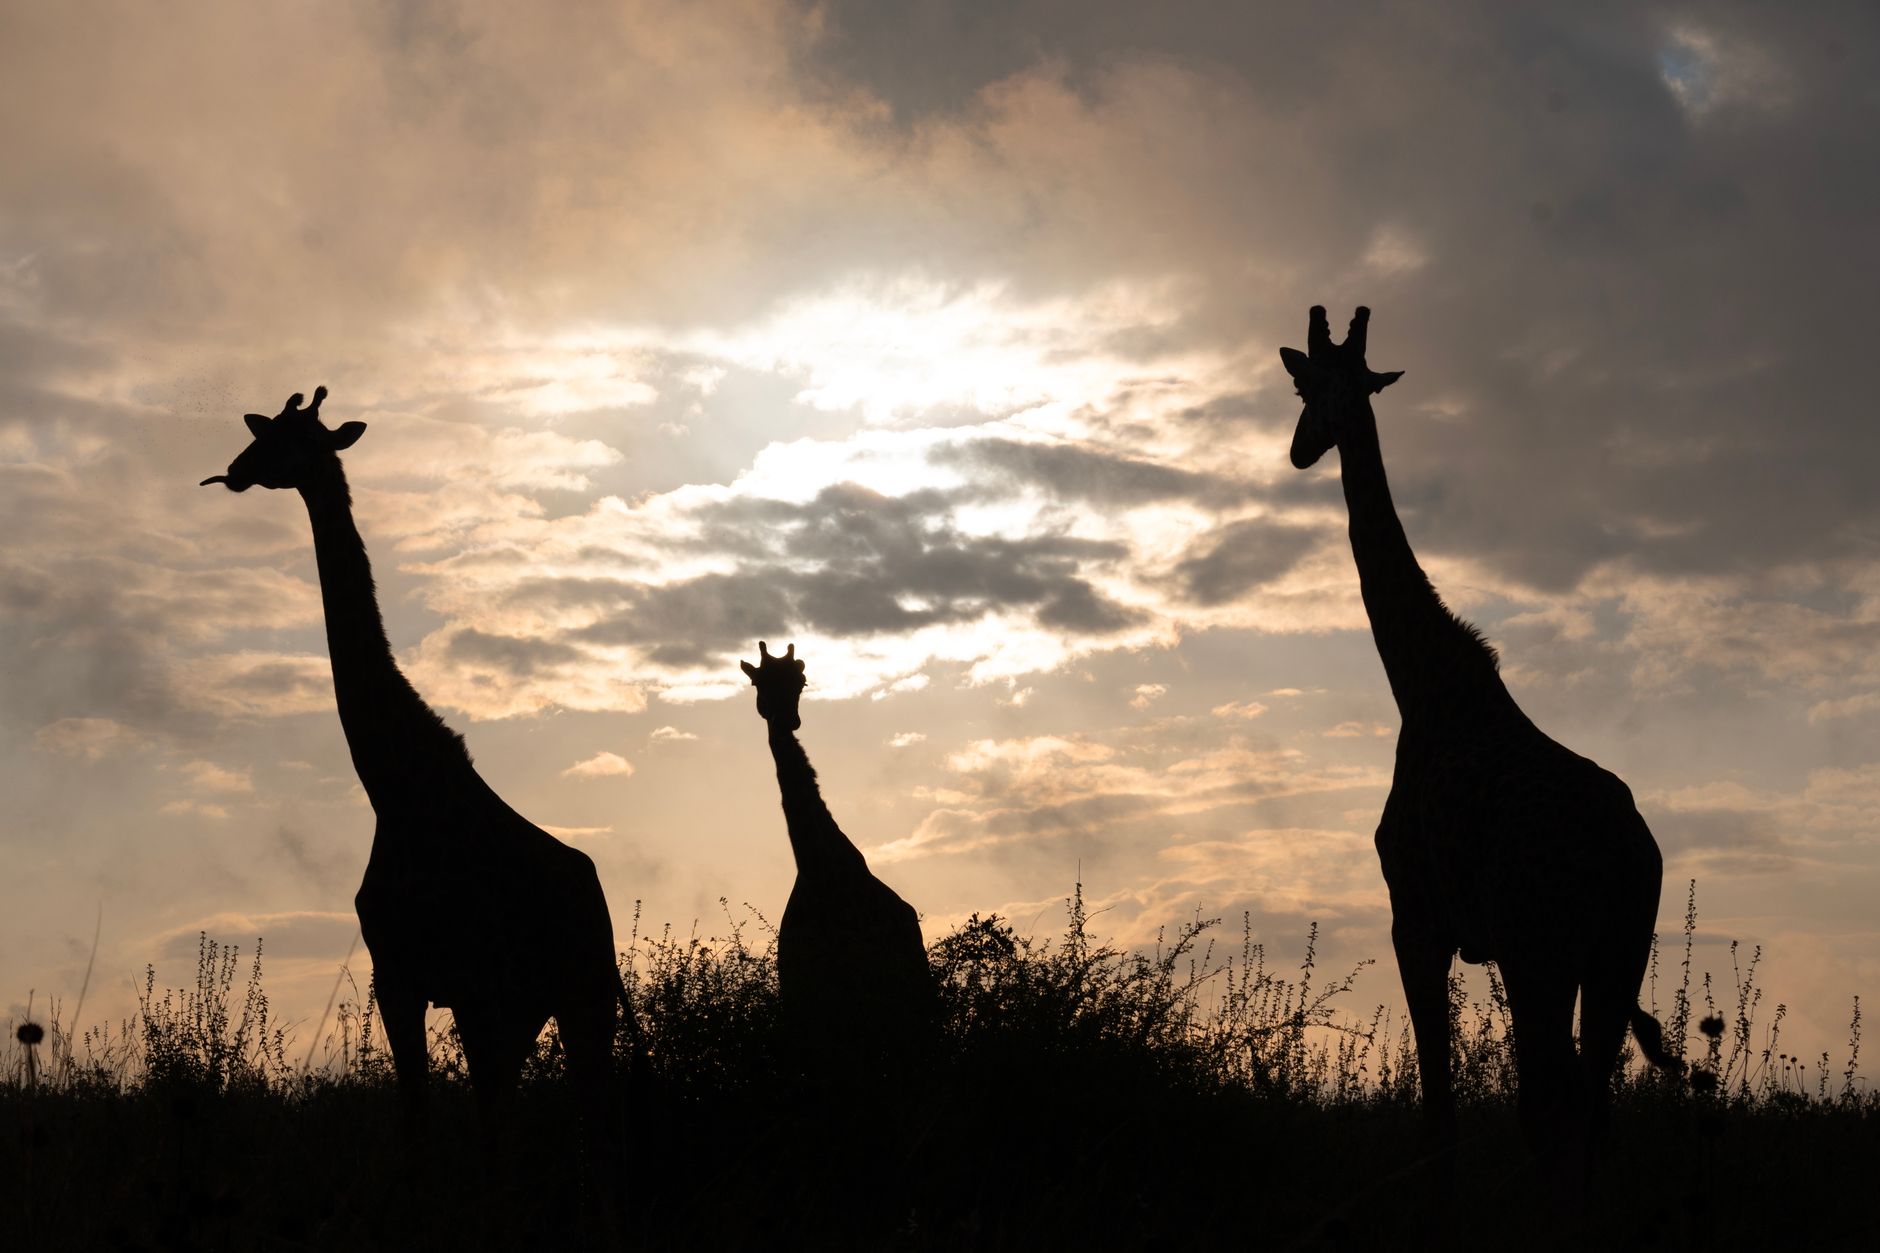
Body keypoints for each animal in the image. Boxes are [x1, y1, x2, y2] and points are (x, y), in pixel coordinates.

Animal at [200, 388, 628, 1124]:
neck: (395, 790)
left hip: (576, 994)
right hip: (540, 1003)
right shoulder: (410, 978)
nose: (235, 469)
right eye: (266, 429)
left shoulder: (451, 982)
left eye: (296, 438)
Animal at [740, 641, 935, 1083]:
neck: (819, 870)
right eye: (759, 682)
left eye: (801, 682)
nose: (786, 719)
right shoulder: (809, 1009)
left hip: (908, 1002)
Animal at [1278, 308, 1679, 1169]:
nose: (1300, 447)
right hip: (1614, 956)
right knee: (1591, 1104)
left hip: (1544, 952)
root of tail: (1634, 852)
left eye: (1311, 387)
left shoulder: (1417, 911)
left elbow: (1439, 1097)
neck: (1423, 685)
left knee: (1556, 1097)